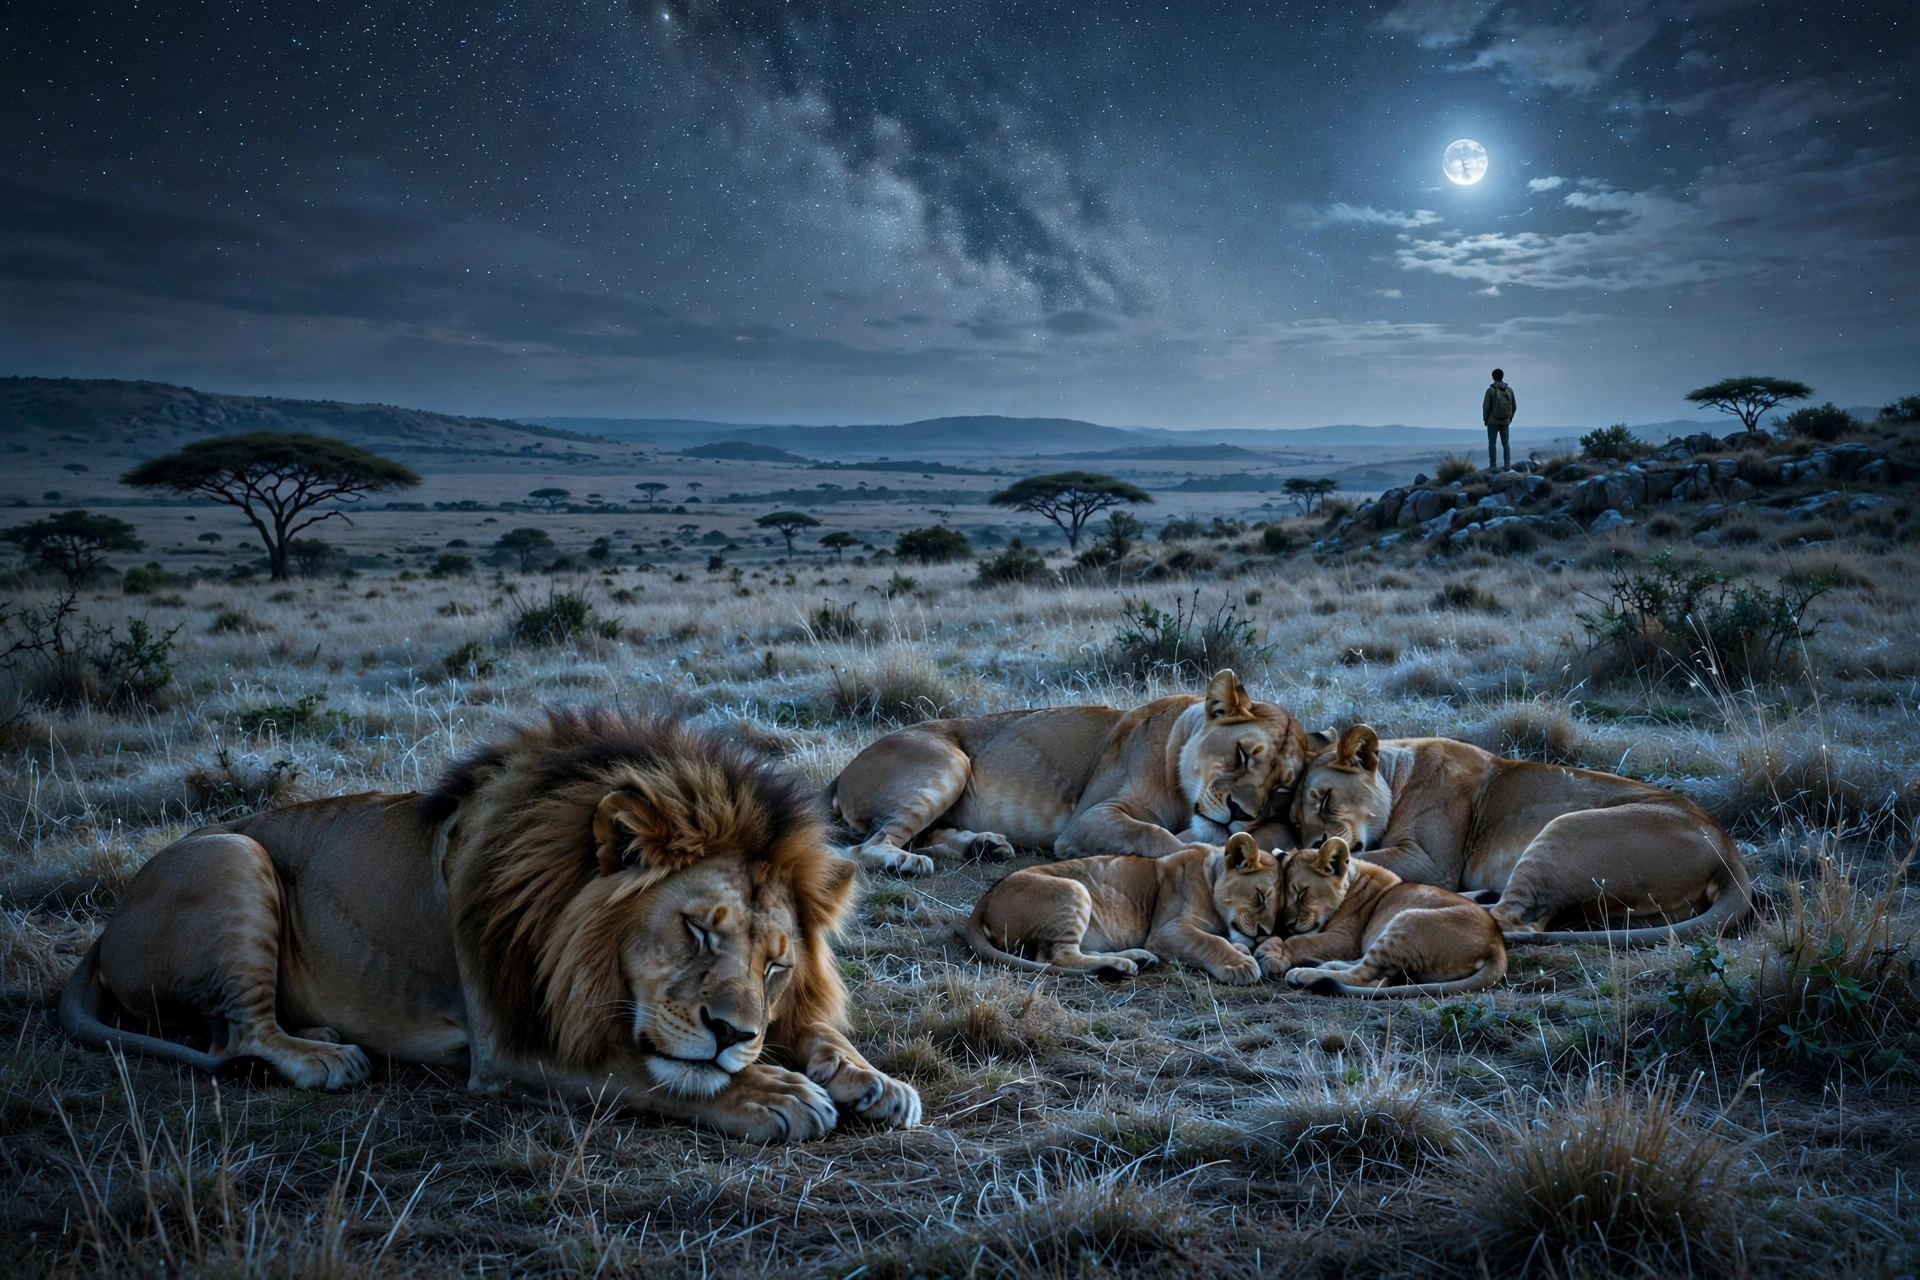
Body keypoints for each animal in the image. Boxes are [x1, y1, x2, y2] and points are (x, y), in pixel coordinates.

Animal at [59, 708, 920, 1142]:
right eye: (697, 931)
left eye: (776, 965)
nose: (735, 1035)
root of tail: (106, 927)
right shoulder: (508, 1043)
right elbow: (640, 1073)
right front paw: (774, 1093)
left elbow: (819, 1031)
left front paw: (873, 1080)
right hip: (234, 855)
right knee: (239, 1031)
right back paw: (323, 1057)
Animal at [829, 669, 1309, 875]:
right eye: (1242, 754)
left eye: (1281, 789)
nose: (1240, 813)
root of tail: (841, 773)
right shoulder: (1087, 820)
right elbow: (1154, 835)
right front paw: (1206, 848)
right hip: (950, 762)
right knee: (864, 849)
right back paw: (907, 862)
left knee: (922, 835)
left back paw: (985, 847)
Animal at [966, 832, 1280, 984]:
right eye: (1260, 897)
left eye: (1280, 908)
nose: (1265, 932)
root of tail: (984, 900)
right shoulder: (1166, 930)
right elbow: (1210, 941)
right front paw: (1239, 964)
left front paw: (1241, 950)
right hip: (1074, 890)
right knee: (1054, 957)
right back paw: (1121, 965)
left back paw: (1135, 959)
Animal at [1254, 837, 1506, 997]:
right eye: (1283, 898)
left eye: (1302, 894)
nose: (1288, 924)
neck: (1352, 880)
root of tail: (1497, 945)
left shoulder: (1346, 940)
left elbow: (1299, 940)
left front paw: (1270, 954)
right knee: (1373, 972)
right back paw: (1324, 964)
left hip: (1408, 921)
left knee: (1369, 977)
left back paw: (1305, 973)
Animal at [1292, 725, 1752, 945]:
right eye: (1297, 820)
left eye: (1326, 799)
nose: (1312, 843)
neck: (1397, 773)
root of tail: (1728, 851)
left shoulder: (1431, 861)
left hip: (1568, 828)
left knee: (1512, 920)